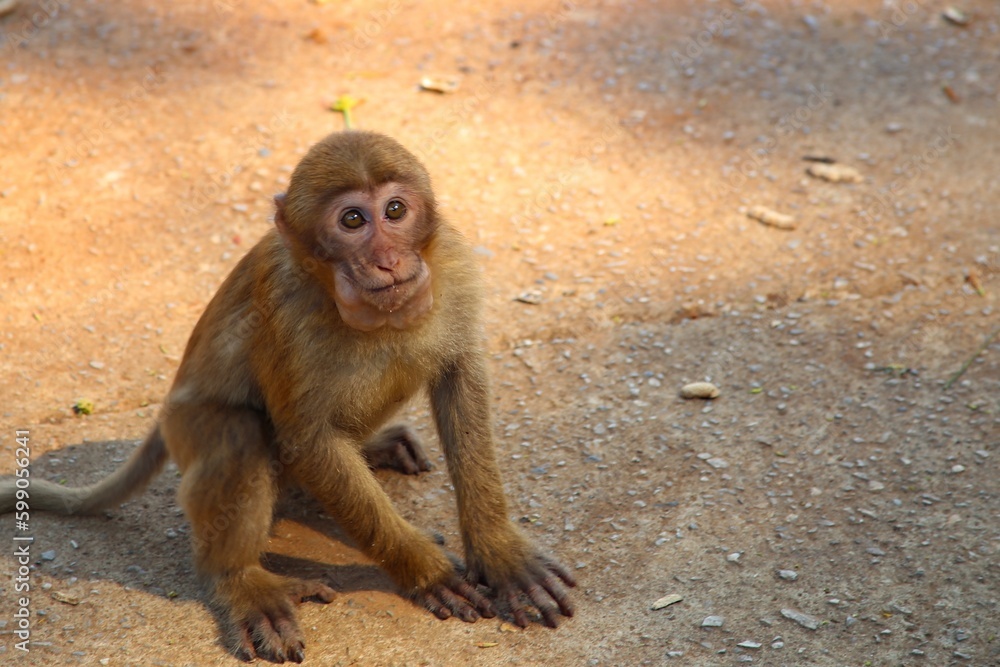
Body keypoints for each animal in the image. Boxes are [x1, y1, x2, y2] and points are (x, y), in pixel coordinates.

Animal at [0, 131, 575, 664]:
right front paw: (425, 571)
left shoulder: (452, 266)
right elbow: (309, 439)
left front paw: (500, 553)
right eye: (351, 221)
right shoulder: (285, 310)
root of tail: (164, 416)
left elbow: (461, 381)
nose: (388, 260)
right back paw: (241, 580)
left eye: (395, 210)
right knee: (241, 434)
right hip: (189, 428)